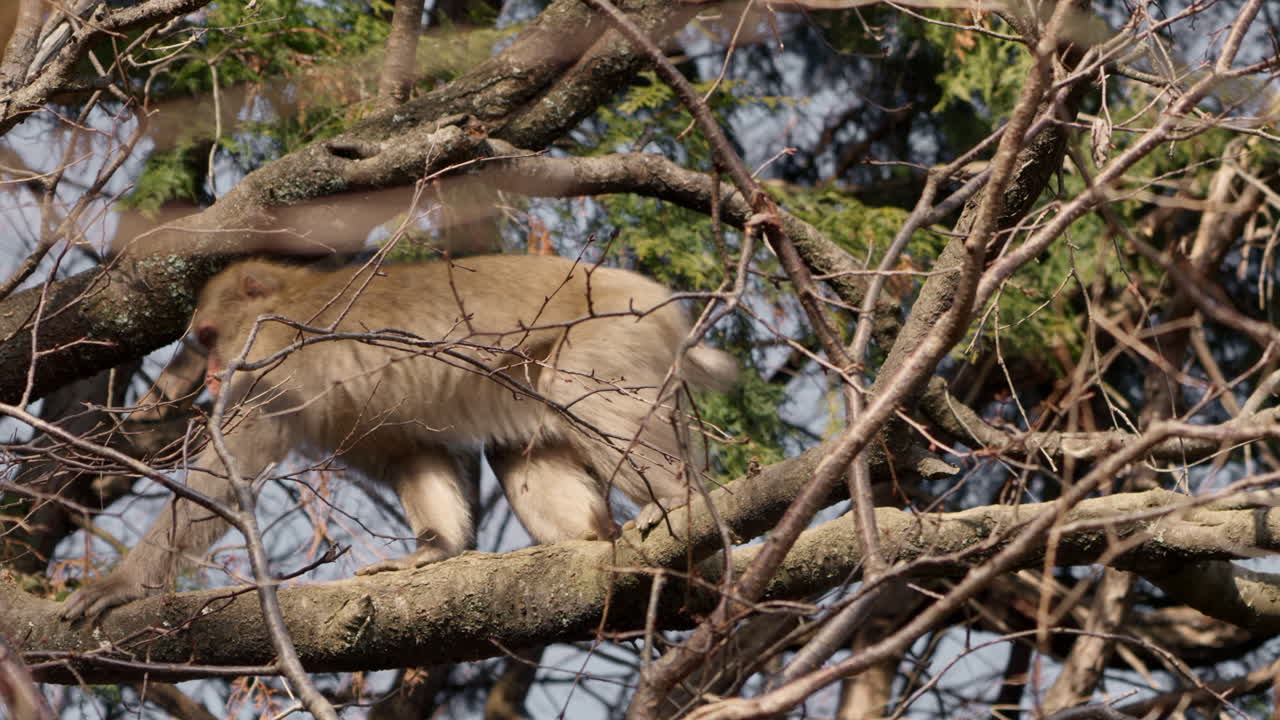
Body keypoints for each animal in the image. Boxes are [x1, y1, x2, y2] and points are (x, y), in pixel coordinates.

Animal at [61, 254, 737, 620]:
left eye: (207, 337)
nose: (210, 375)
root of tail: (655, 300)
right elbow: (411, 448)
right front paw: (437, 549)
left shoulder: (275, 372)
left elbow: (224, 476)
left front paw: (121, 585)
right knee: (519, 442)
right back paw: (594, 539)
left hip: (607, 343)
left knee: (587, 400)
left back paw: (678, 497)